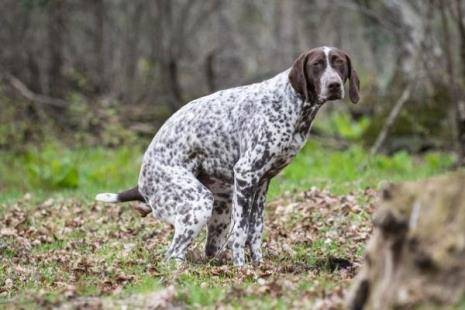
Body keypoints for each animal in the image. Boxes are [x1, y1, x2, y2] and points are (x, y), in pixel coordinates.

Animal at [97, 46, 358, 266]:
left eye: (339, 63)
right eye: (316, 64)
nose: (334, 85)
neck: (291, 104)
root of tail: (142, 182)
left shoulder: (261, 183)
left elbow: (255, 231)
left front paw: (258, 265)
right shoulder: (246, 174)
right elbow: (241, 232)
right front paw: (241, 269)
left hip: (221, 207)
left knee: (207, 249)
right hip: (198, 204)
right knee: (173, 255)